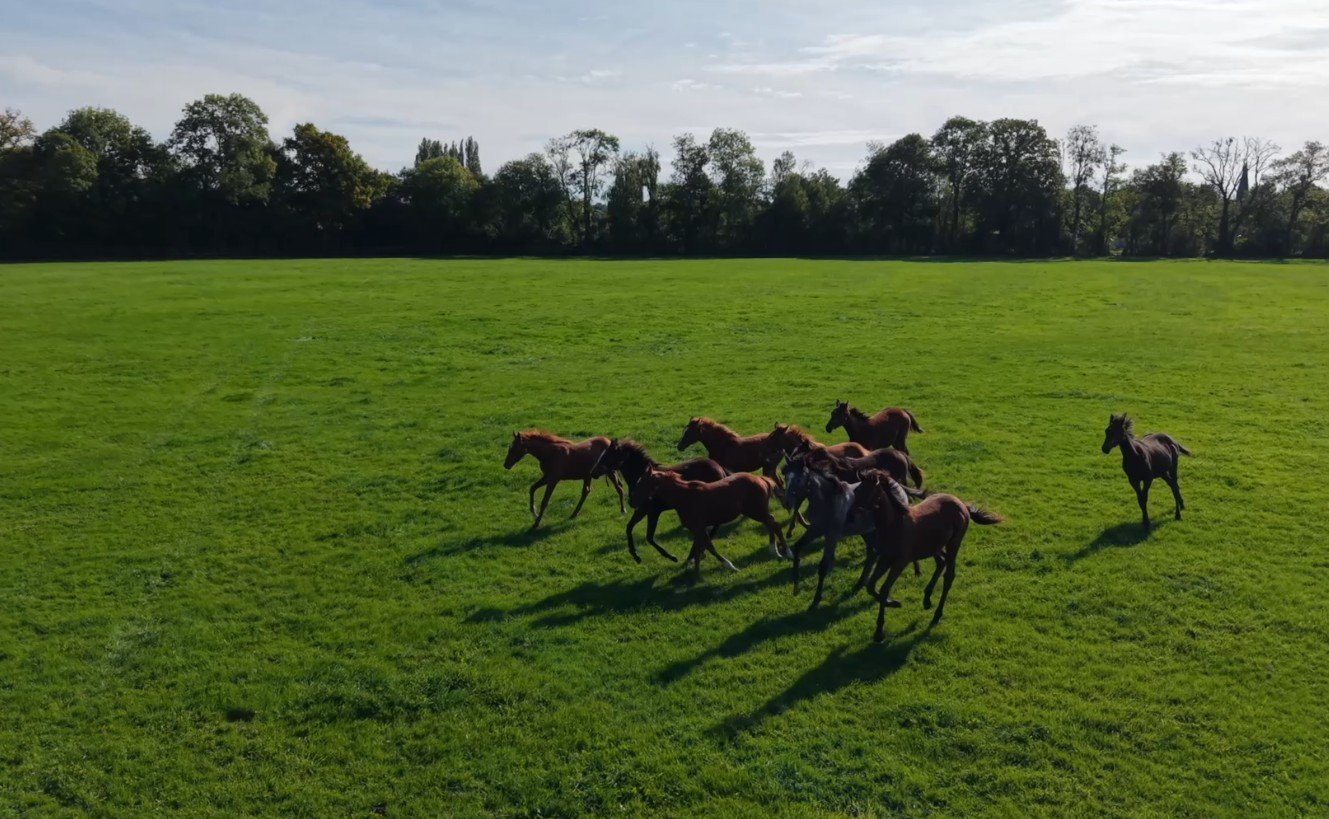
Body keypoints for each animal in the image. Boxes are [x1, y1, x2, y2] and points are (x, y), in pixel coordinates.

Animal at [589, 438, 728, 563]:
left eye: (607, 455)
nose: (593, 473)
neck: (641, 477)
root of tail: (720, 469)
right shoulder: (642, 511)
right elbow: (630, 528)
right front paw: (636, 556)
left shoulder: (652, 512)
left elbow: (649, 537)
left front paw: (671, 557)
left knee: (714, 525)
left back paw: (695, 555)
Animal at [632, 467, 789, 573]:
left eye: (642, 483)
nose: (632, 502)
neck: (684, 497)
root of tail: (762, 479)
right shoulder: (697, 529)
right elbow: (703, 546)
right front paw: (695, 572)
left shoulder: (699, 527)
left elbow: (707, 547)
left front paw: (730, 566)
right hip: (757, 512)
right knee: (771, 523)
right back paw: (774, 550)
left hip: (756, 511)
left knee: (775, 524)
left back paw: (786, 552)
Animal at [781, 454, 878, 609]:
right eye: (785, 478)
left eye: (798, 479)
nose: (787, 503)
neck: (828, 501)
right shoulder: (815, 530)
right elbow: (797, 547)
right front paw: (795, 587)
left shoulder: (832, 536)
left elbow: (823, 566)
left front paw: (816, 600)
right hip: (867, 531)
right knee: (872, 554)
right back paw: (859, 584)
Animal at [855, 470, 1001, 642]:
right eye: (856, 491)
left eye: (867, 492)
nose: (851, 516)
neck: (894, 525)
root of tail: (961, 504)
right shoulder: (885, 559)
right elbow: (871, 586)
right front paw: (894, 604)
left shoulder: (901, 561)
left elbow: (884, 589)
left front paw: (879, 631)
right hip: (934, 546)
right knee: (941, 562)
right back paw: (926, 600)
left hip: (954, 544)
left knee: (949, 576)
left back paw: (937, 614)